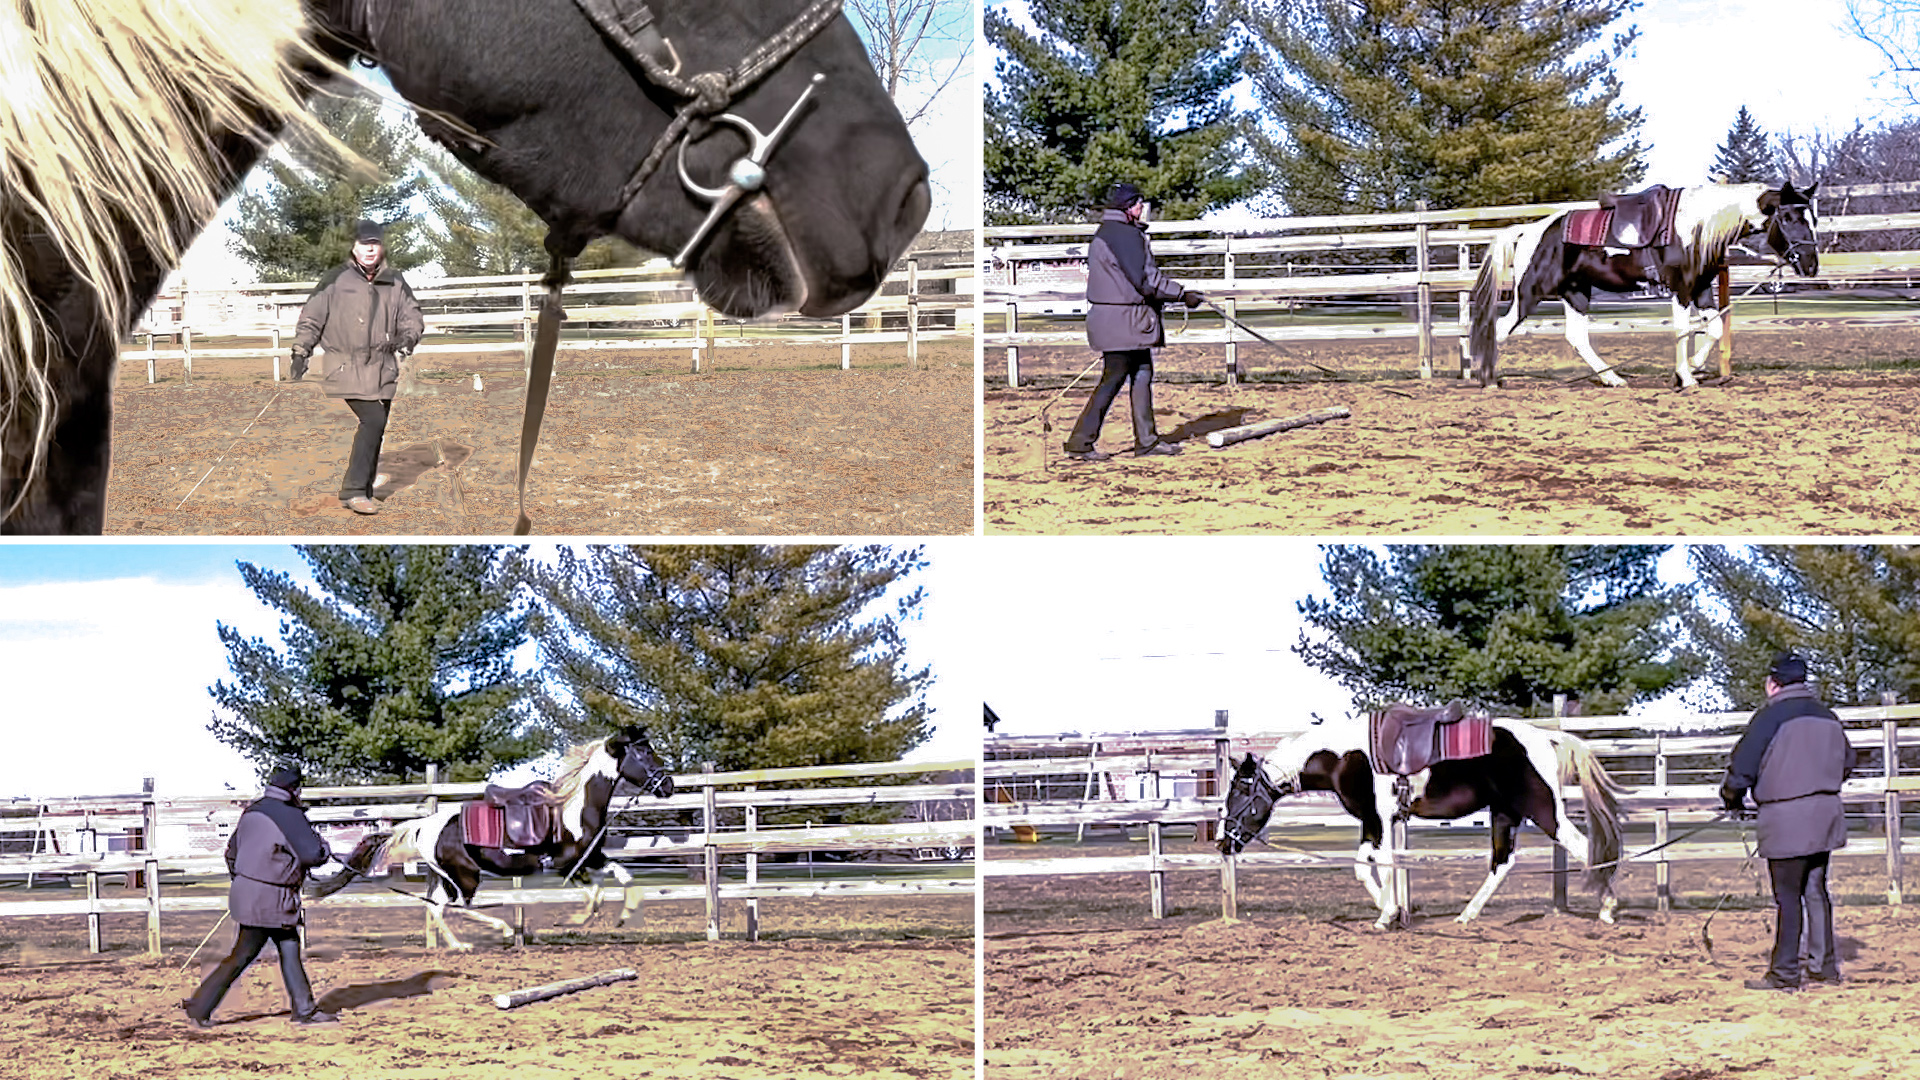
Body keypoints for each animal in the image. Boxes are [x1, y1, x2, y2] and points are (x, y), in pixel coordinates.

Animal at [312, 727, 677, 950]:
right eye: (644, 754)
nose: (669, 785)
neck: (573, 807)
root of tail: (424, 826)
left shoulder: (593, 858)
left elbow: (623, 876)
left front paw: (626, 914)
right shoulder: (566, 864)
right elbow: (597, 894)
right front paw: (574, 919)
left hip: (449, 877)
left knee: (439, 908)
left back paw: (459, 945)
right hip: (466, 874)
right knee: (462, 905)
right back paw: (500, 930)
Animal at [1217, 708, 1626, 929]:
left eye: (1238, 792)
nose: (1223, 842)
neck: (1346, 756)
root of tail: (1544, 737)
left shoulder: (1380, 819)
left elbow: (1381, 864)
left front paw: (1388, 914)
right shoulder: (1371, 821)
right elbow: (1365, 868)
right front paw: (1390, 910)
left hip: (1544, 811)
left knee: (1584, 847)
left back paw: (1607, 908)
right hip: (1504, 813)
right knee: (1502, 862)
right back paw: (1467, 915)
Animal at [1468, 182, 1819, 389]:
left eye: (1812, 218)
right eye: (1788, 218)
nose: (1811, 265)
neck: (1696, 227)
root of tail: (1529, 230)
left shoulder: (1702, 289)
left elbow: (1715, 329)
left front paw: (1693, 368)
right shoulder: (1682, 289)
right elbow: (1682, 330)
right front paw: (1686, 377)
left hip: (1576, 292)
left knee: (1577, 337)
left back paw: (1612, 378)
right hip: (1530, 292)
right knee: (1500, 328)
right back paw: (1488, 379)